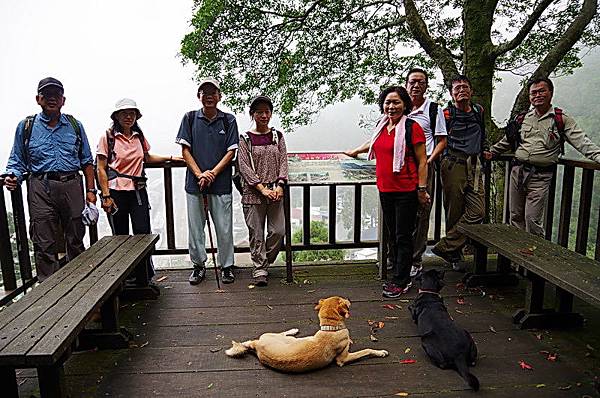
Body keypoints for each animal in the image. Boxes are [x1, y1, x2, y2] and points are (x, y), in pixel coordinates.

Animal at [225, 296, 390, 374]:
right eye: (343, 300)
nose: (350, 299)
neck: (331, 327)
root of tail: (256, 345)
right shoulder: (343, 358)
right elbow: (366, 350)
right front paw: (380, 352)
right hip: (279, 336)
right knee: (284, 333)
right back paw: (293, 330)